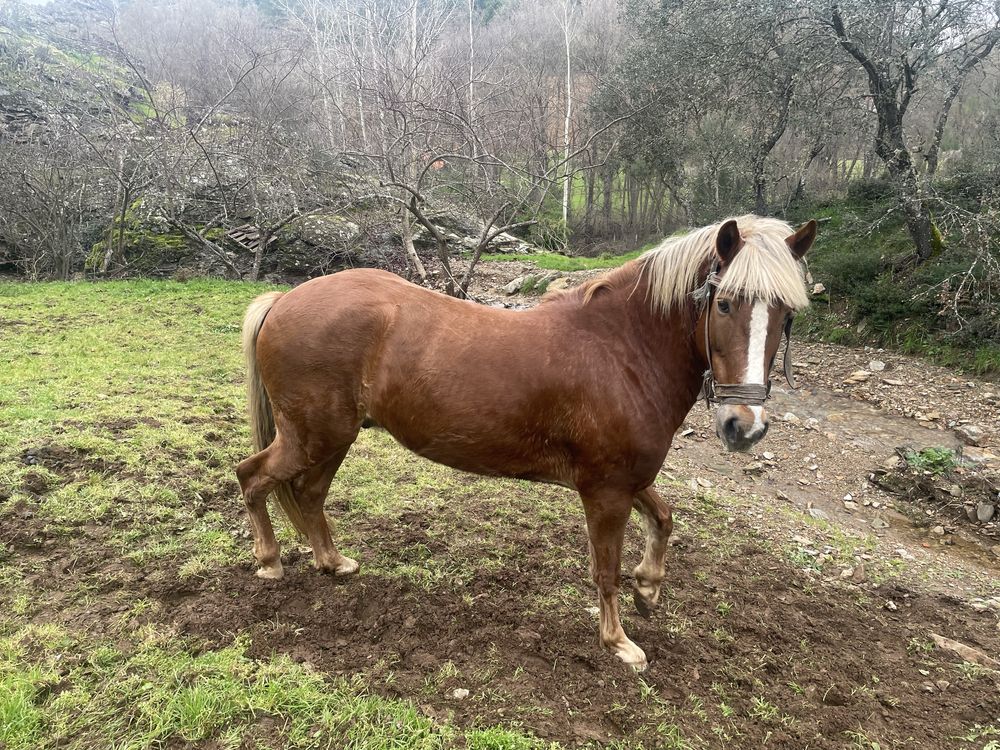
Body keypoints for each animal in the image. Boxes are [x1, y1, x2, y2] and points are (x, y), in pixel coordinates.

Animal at [238, 214, 816, 672]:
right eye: (725, 304)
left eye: (786, 314)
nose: (745, 425)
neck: (621, 351)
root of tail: (285, 299)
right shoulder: (606, 491)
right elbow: (605, 569)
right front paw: (619, 643)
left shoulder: (628, 479)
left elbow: (665, 518)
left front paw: (648, 588)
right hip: (313, 437)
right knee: (252, 477)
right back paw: (269, 562)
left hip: (332, 440)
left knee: (309, 495)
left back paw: (333, 563)